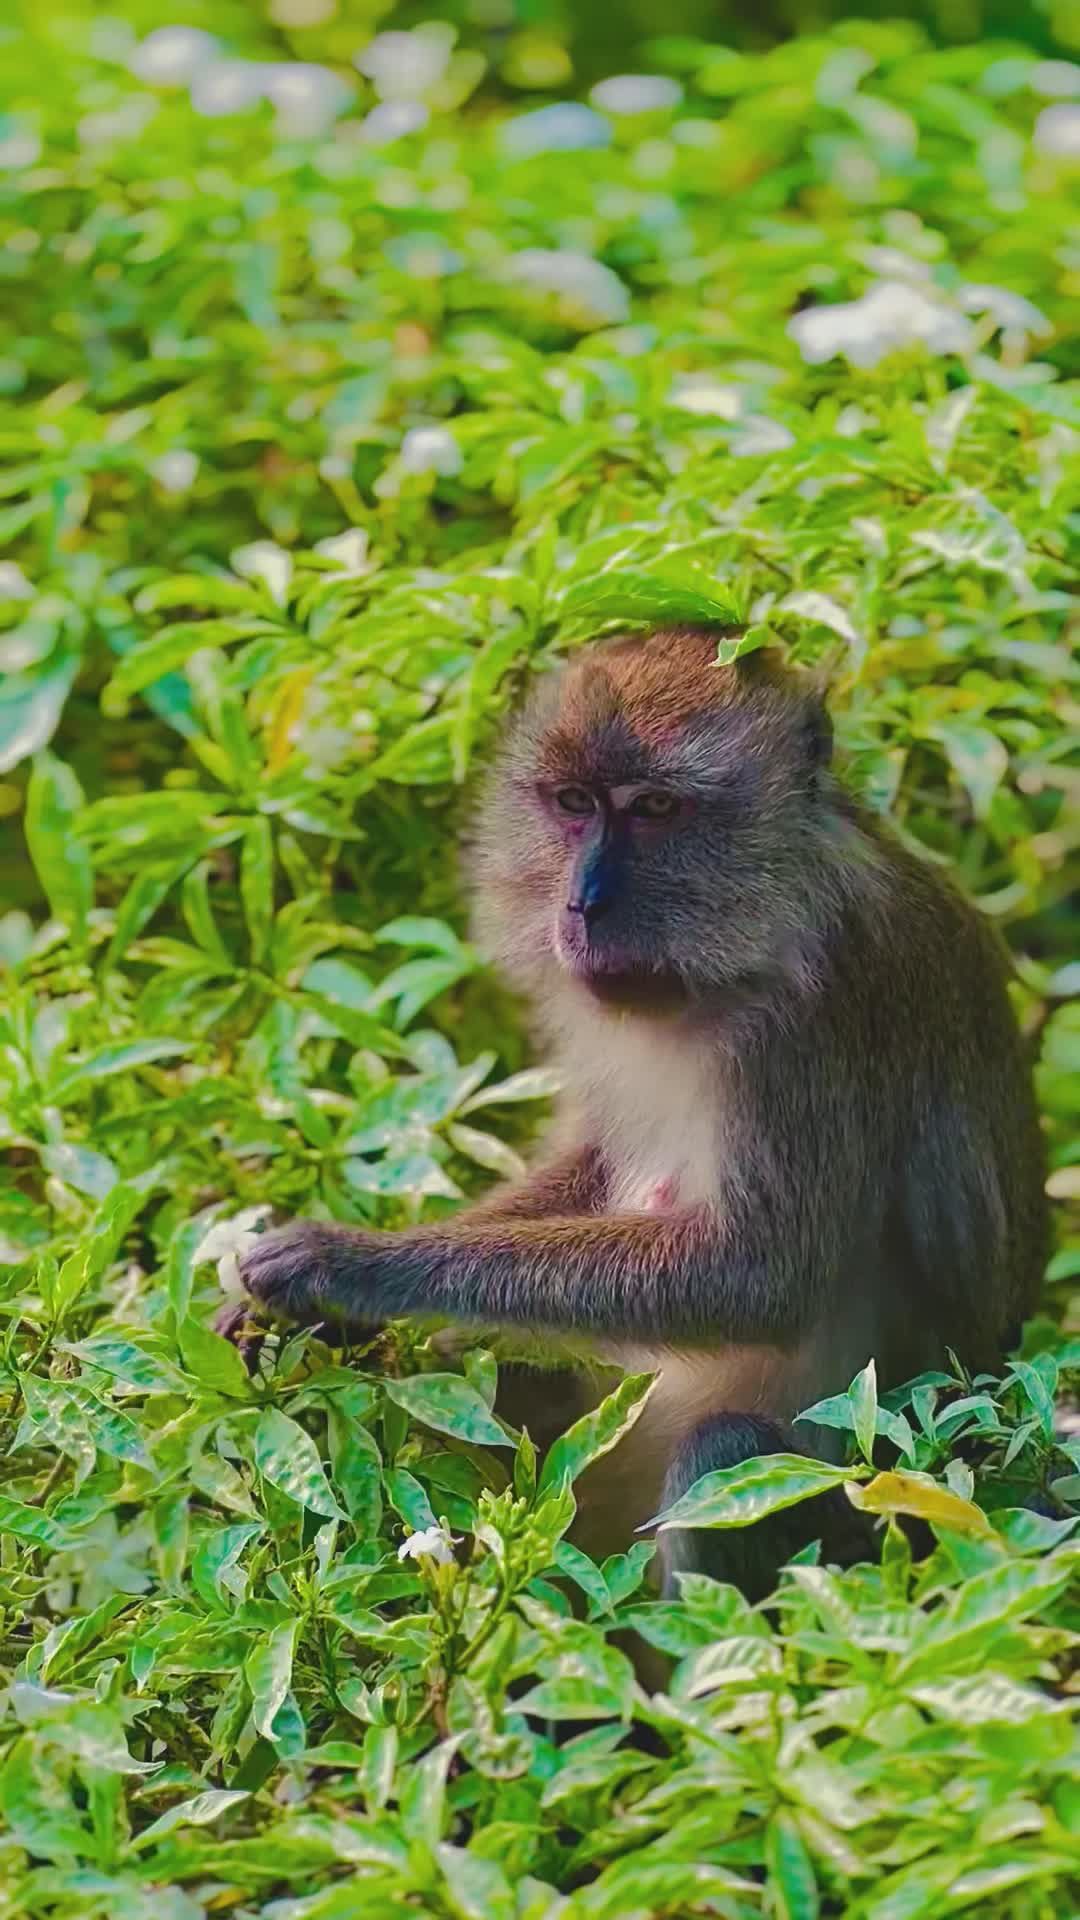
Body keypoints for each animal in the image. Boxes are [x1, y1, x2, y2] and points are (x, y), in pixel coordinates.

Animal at [219, 627, 1048, 1594]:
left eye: (654, 809)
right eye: (575, 804)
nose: (583, 903)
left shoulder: (822, 1020)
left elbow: (759, 1272)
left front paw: (346, 1266)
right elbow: (595, 1161)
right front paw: (326, 1313)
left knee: (728, 1450)